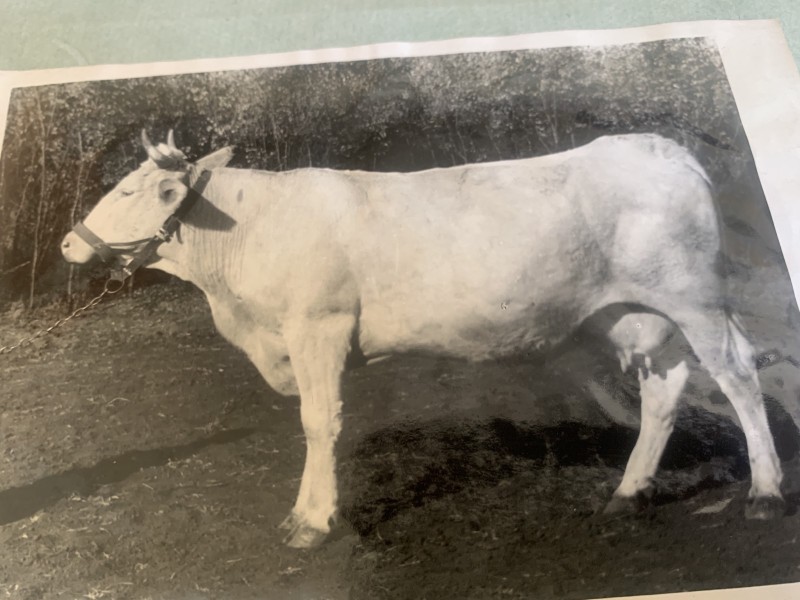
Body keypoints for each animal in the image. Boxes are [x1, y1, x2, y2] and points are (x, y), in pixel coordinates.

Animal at [60, 130, 785, 548]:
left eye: (131, 191)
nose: (68, 243)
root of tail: (664, 147)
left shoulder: (318, 325)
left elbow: (319, 422)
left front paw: (310, 520)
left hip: (694, 298)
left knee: (739, 374)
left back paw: (766, 493)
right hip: (632, 314)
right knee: (665, 386)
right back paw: (627, 492)